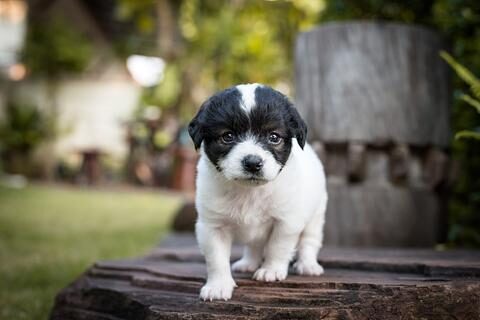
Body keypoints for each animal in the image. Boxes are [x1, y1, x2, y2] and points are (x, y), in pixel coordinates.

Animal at [188, 82, 326, 300]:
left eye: (274, 137)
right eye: (227, 136)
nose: (253, 163)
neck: (249, 192)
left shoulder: (287, 222)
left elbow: (277, 247)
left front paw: (271, 270)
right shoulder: (212, 227)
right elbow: (216, 259)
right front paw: (218, 285)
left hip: (316, 215)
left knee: (309, 242)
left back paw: (308, 265)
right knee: (254, 246)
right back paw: (248, 263)